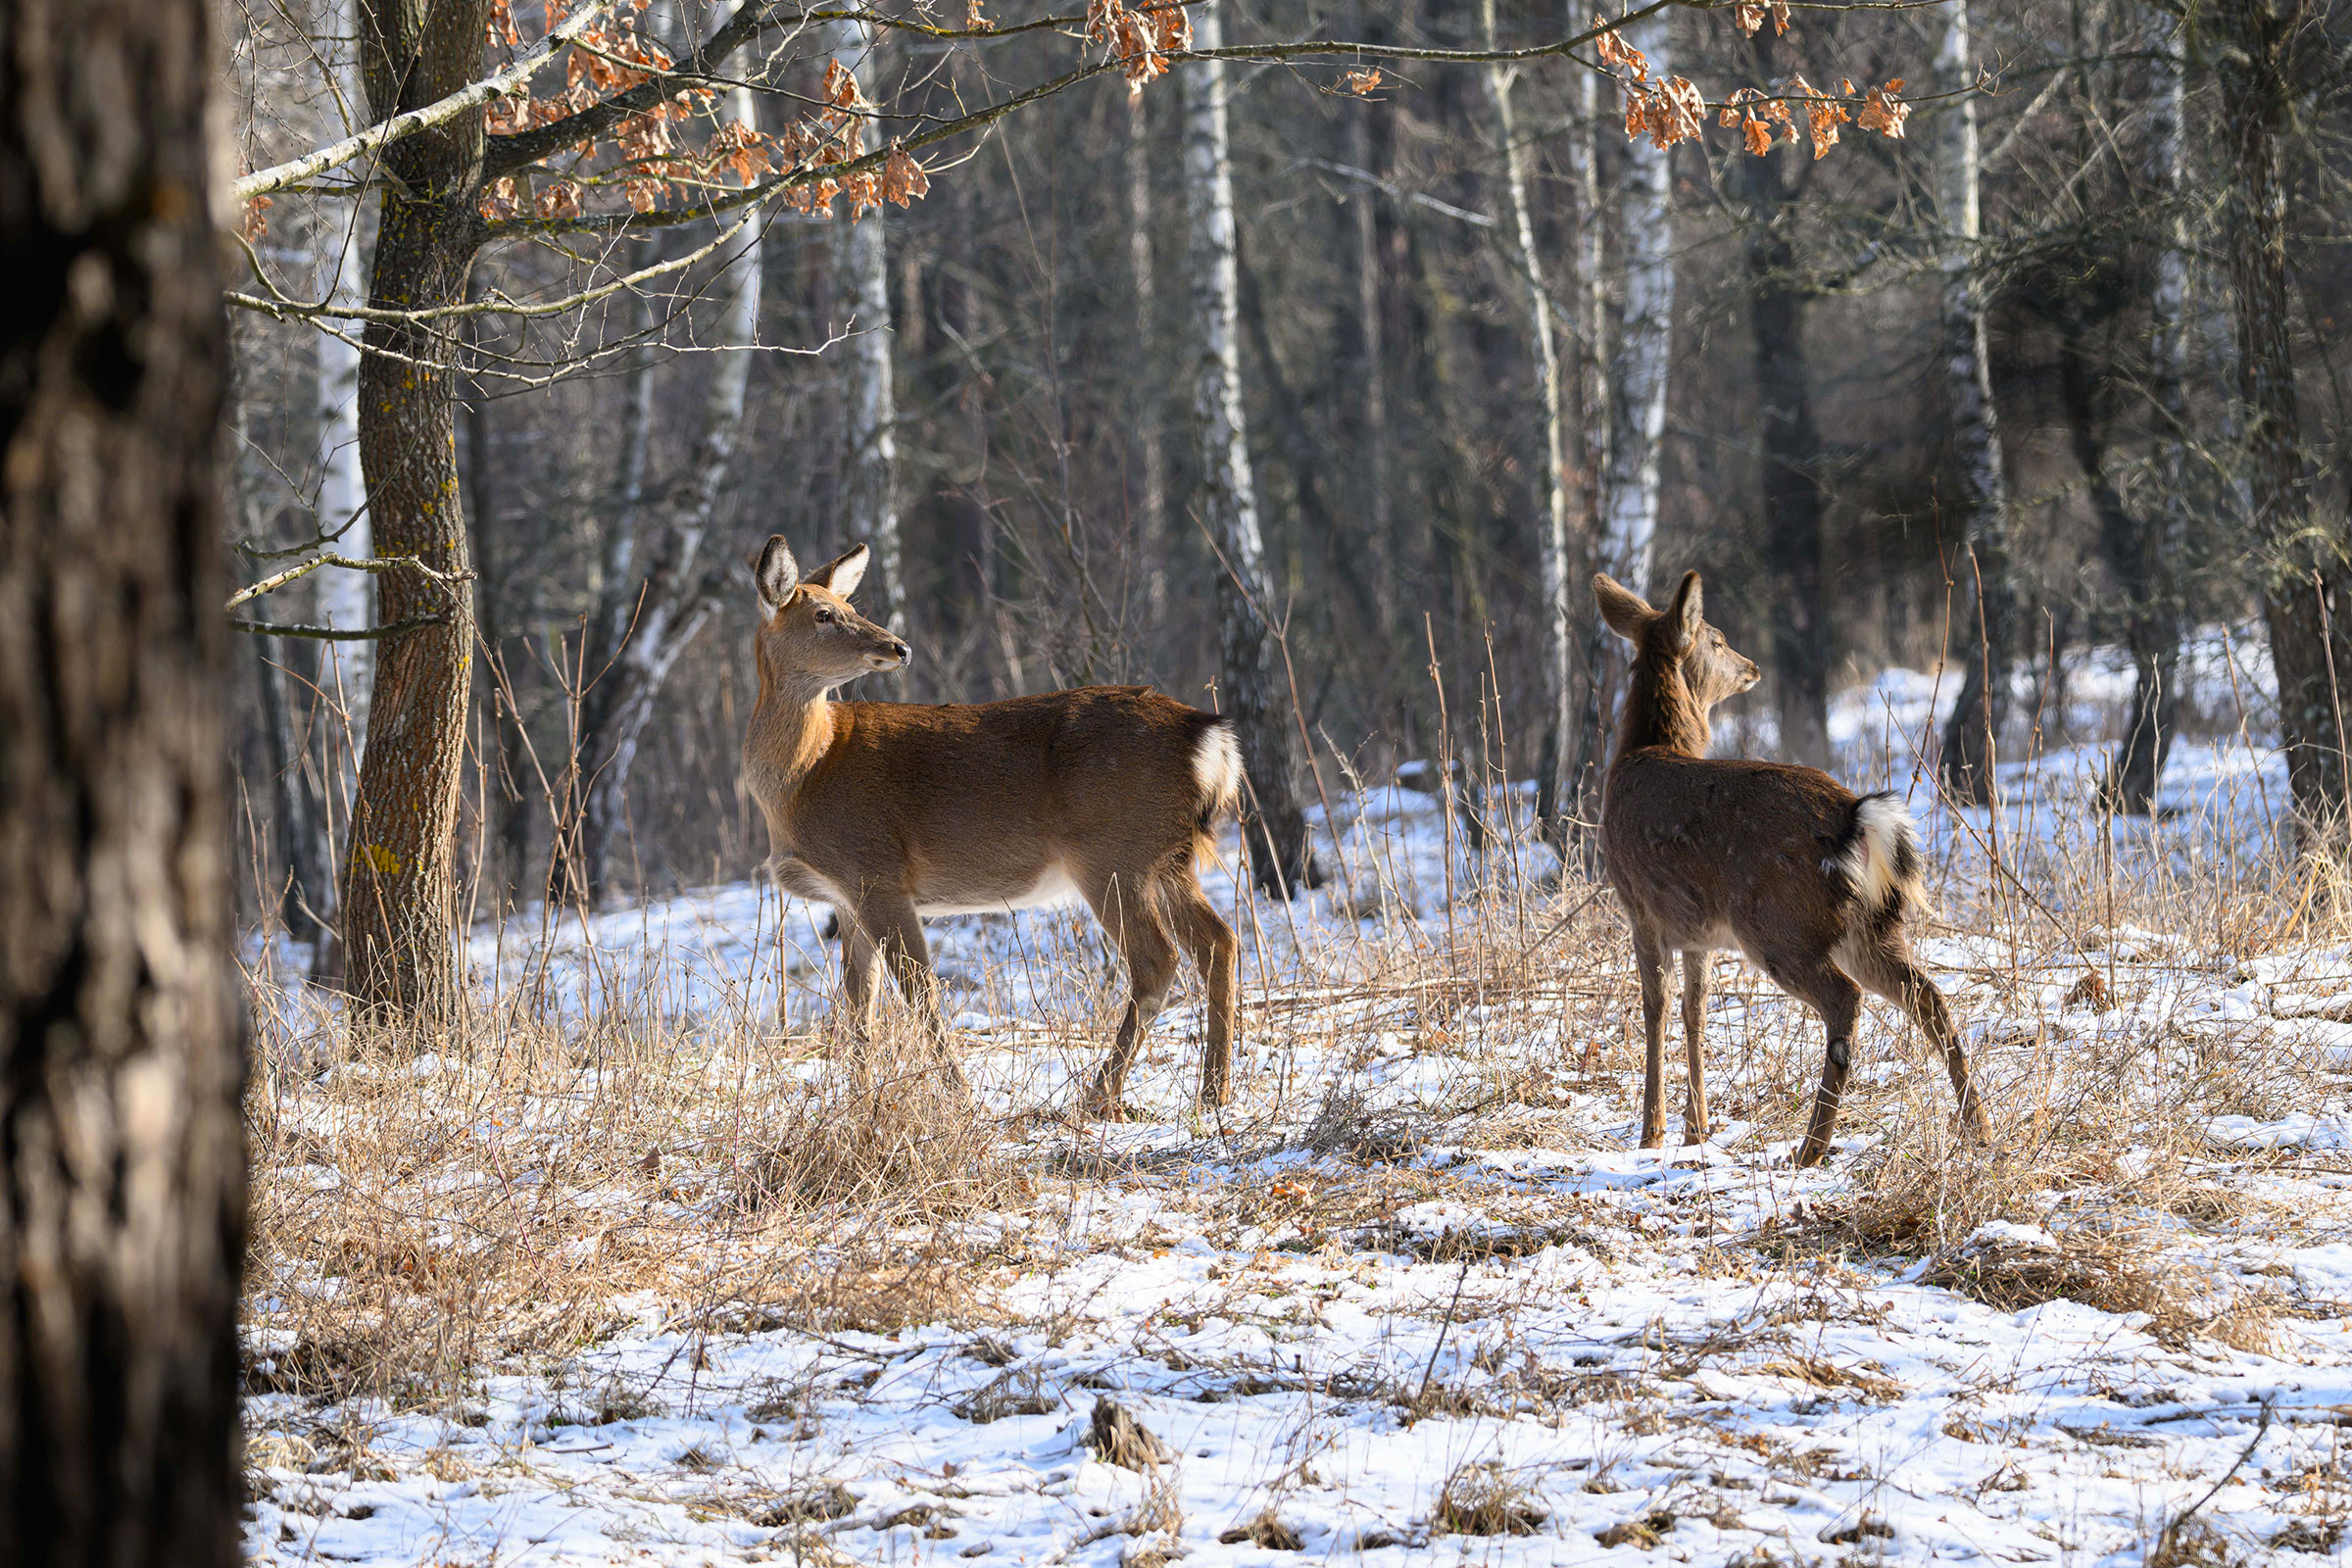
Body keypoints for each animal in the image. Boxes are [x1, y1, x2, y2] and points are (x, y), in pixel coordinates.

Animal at [741, 535, 1244, 1116]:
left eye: (850, 607)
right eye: (824, 614)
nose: (899, 648)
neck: (806, 774)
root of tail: (1207, 735)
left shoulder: (877, 871)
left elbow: (919, 991)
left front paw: (959, 1098)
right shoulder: (846, 896)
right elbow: (859, 1005)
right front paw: (859, 1101)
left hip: (1113, 850)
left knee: (1158, 960)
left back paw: (1100, 1095)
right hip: (1168, 856)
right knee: (1219, 941)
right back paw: (1213, 1092)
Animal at [1593, 570, 1990, 1167]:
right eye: (1717, 640)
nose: (1752, 667)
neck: (1644, 749)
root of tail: (1857, 819)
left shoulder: (1640, 907)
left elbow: (1655, 1010)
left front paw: (1652, 1134)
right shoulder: (1696, 931)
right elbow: (1694, 1012)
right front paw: (1696, 1130)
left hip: (1779, 923)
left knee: (1846, 999)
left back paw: (1810, 1148)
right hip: (1867, 924)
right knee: (1929, 994)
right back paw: (1978, 1127)